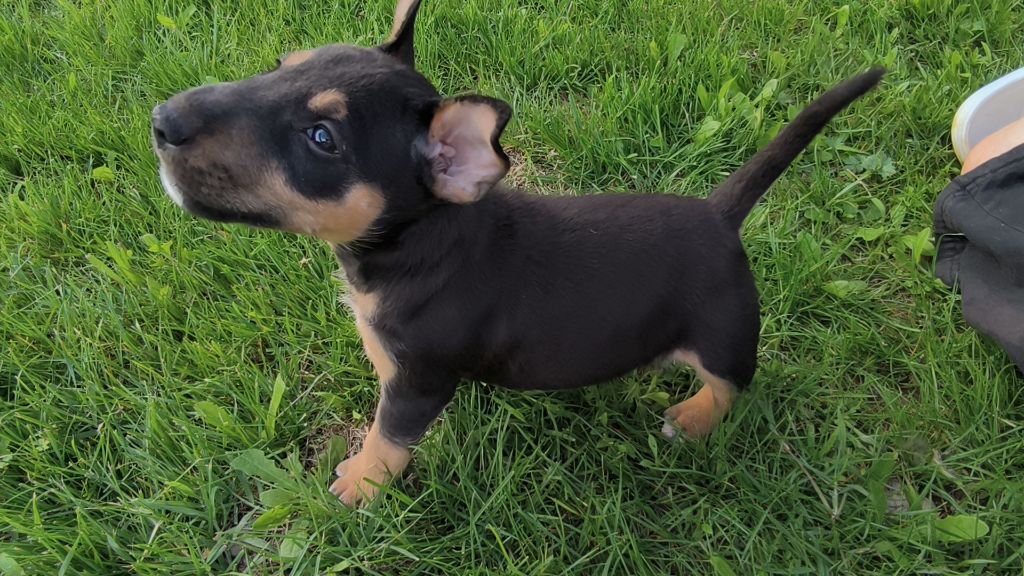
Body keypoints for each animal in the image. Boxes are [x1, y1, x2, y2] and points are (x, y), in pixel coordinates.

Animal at [152, 0, 884, 506]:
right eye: (281, 66)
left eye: (323, 138)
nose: (161, 121)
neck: (417, 245)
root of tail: (719, 214)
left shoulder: (420, 384)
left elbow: (389, 435)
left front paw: (361, 484)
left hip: (726, 335)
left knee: (733, 384)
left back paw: (695, 418)